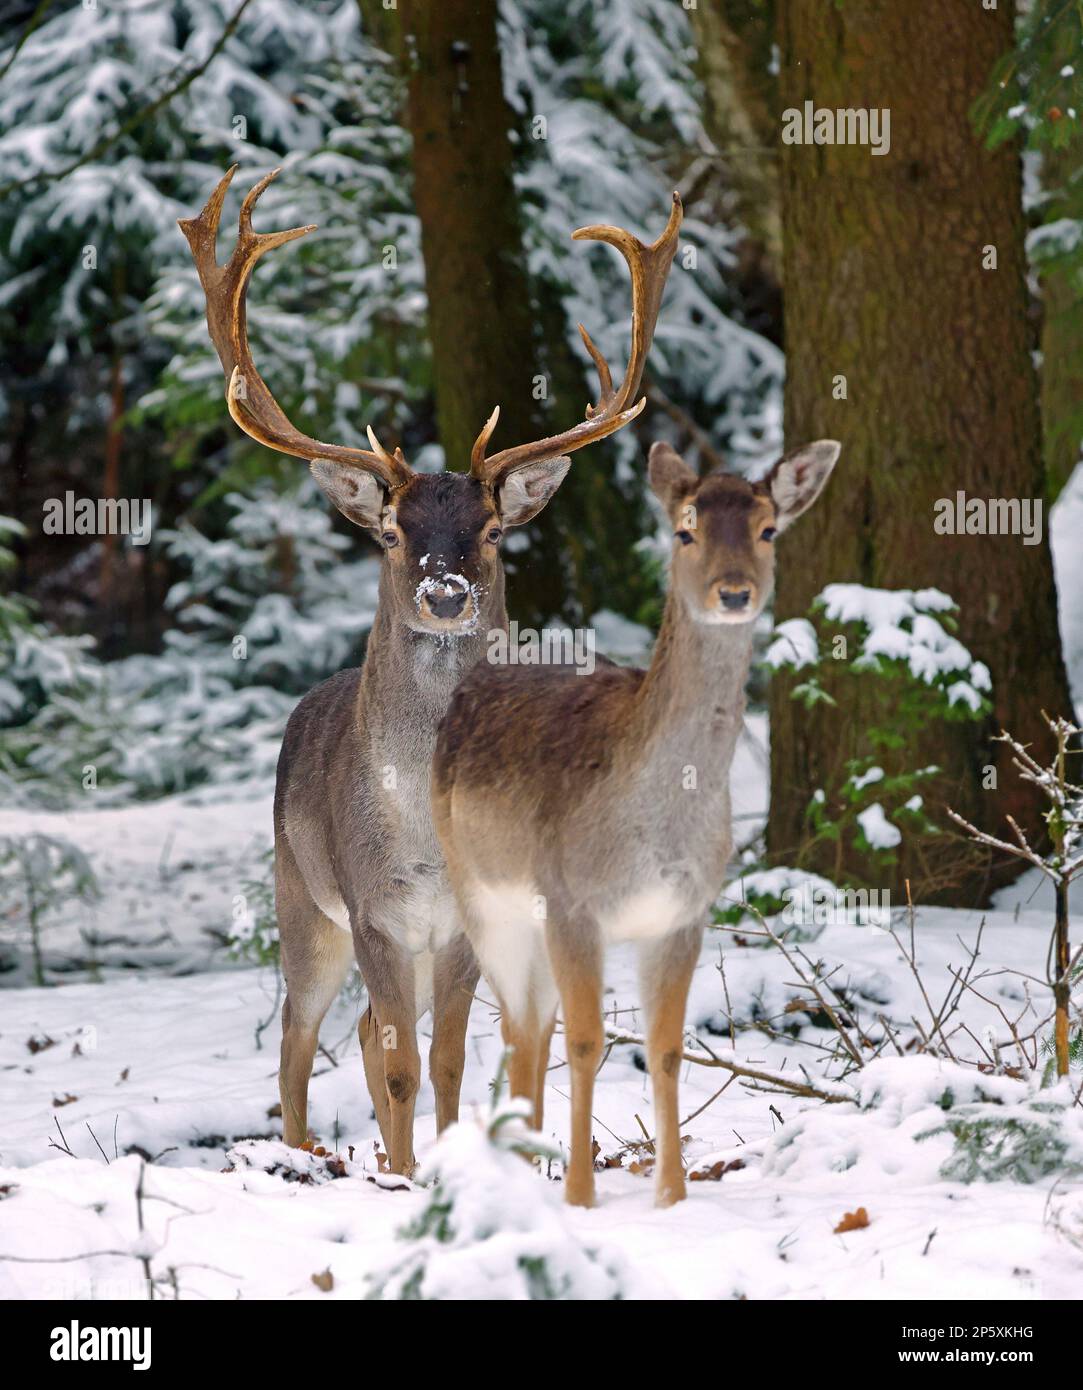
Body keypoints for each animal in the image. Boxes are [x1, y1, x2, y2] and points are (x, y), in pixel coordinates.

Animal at [180, 170, 681, 1173]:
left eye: (489, 531)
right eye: (389, 531)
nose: (444, 592)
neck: (419, 831)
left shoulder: (467, 919)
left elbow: (444, 1060)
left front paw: (442, 1164)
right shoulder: (373, 909)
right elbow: (401, 1065)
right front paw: (408, 1175)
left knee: (359, 1037)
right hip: (300, 896)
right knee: (298, 1041)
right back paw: (304, 1155)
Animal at [430, 436, 839, 1206]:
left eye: (769, 529)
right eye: (685, 530)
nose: (733, 592)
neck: (654, 824)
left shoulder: (684, 912)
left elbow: (666, 1049)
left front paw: (671, 1194)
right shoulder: (570, 899)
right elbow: (588, 1042)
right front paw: (580, 1196)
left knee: (534, 1028)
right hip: (481, 897)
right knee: (519, 1031)